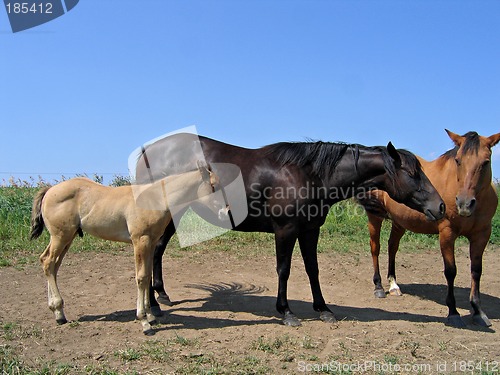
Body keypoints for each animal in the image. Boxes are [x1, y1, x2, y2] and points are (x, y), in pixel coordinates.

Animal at [30, 163, 227, 336]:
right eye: (214, 185)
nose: (225, 213)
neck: (155, 198)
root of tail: (49, 190)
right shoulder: (140, 241)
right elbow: (141, 277)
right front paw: (145, 322)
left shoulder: (151, 242)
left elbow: (147, 276)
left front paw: (150, 315)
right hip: (60, 236)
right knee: (48, 262)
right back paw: (58, 311)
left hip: (67, 238)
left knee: (51, 264)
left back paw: (58, 313)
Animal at [135, 134, 444, 326]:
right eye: (413, 174)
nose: (440, 206)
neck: (311, 175)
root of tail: (146, 153)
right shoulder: (286, 230)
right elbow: (283, 269)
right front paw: (286, 312)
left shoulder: (310, 231)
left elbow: (312, 269)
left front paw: (323, 309)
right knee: (151, 254)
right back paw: (155, 306)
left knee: (157, 252)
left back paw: (161, 297)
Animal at [360, 130, 500, 328]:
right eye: (458, 160)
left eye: (486, 161)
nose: (464, 204)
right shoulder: (447, 233)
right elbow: (451, 271)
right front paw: (453, 312)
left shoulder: (482, 234)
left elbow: (476, 270)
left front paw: (478, 312)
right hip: (374, 216)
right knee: (375, 248)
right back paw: (379, 287)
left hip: (399, 221)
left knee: (392, 247)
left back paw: (394, 285)